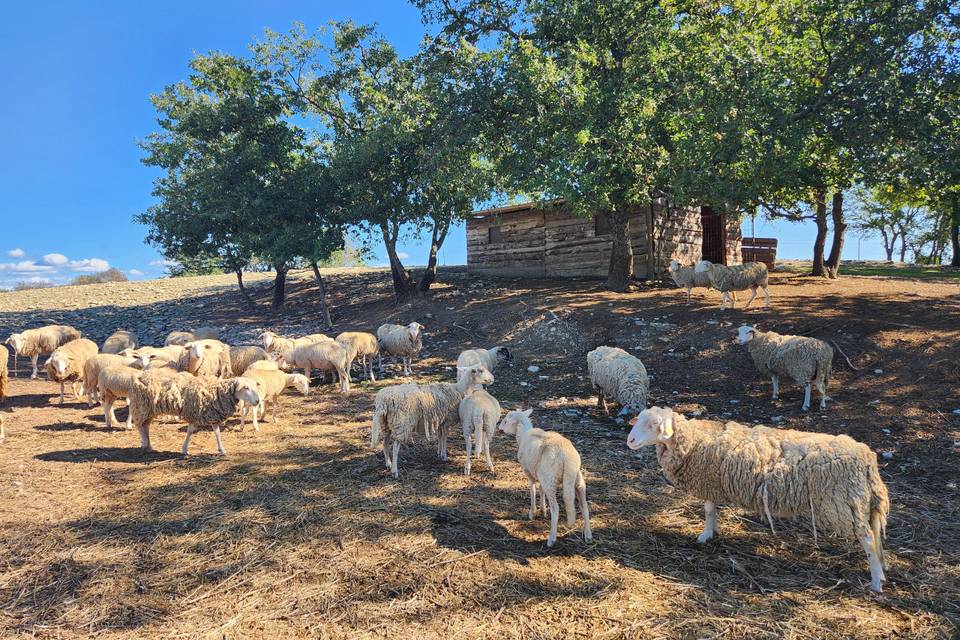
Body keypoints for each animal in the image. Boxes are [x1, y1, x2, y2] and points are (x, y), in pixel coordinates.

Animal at [129, 370, 261, 456]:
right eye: (246, 388)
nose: (257, 401)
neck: (217, 391)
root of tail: (139, 374)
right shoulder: (194, 413)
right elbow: (190, 432)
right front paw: (184, 450)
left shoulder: (212, 414)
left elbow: (217, 433)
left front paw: (221, 450)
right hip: (141, 406)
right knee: (139, 425)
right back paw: (145, 442)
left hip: (150, 410)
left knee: (146, 426)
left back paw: (149, 446)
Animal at [497, 408, 592, 547]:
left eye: (505, 421)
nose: (499, 429)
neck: (523, 434)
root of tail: (566, 455)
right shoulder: (540, 474)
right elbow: (541, 490)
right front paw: (543, 510)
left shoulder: (529, 472)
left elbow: (532, 490)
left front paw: (532, 513)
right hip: (575, 478)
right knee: (584, 506)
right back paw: (588, 535)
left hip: (550, 479)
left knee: (556, 508)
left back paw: (551, 539)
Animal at [626, 406, 889, 592]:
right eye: (639, 420)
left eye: (654, 424)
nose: (630, 440)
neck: (695, 439)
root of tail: (866, 458)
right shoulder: (713, 483)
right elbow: (712, 511)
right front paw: (712, 532)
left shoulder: (709, 481)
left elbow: (709, 510)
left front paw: (704, 536)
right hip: (862, 503)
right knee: (875, 535)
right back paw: (882, 570)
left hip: (843, 503)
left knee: (867, 540)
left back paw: (876, 582)